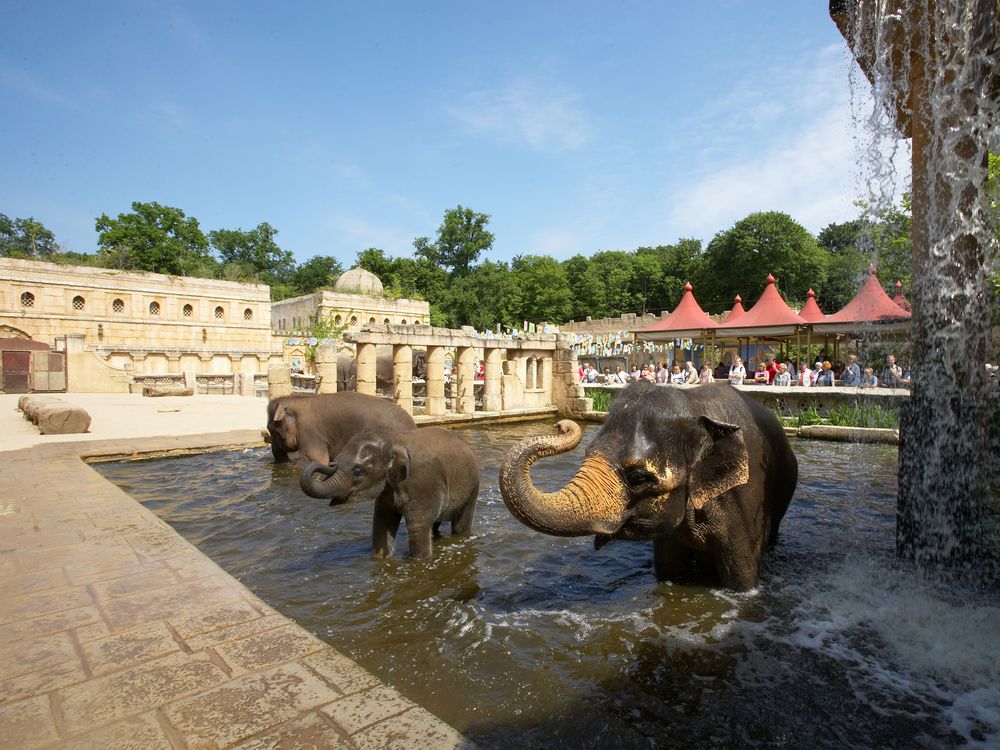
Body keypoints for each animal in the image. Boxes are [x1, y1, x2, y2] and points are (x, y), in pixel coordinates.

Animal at [298, 426, 478, 560]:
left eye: (358, 472)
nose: (331, 463)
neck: (392, 440)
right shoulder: (387, 488)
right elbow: (382, 522)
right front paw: (381, 558)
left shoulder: (424, 483)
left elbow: (418, 525)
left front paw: (419, 561)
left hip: (472, 489)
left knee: (460, 525)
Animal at [498, 382, 796, 592]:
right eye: (588, 451)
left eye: (639, 477)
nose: (561, 424)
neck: (694, 405)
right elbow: (668, 570)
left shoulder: (745, 500)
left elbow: (743, 577)